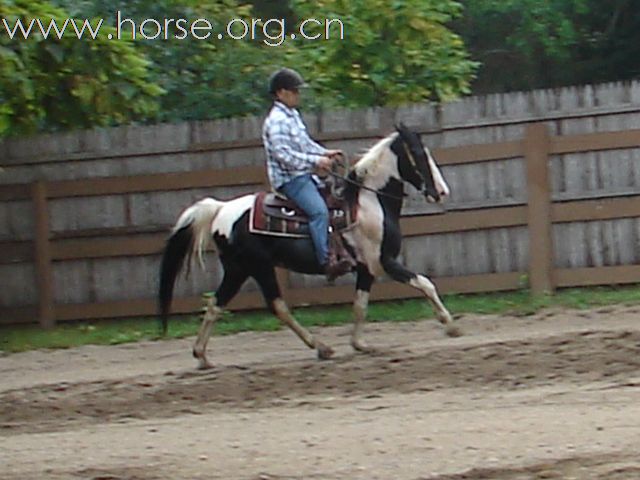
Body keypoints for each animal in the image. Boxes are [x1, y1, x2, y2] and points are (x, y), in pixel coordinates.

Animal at [159, 123, 460, 368]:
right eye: (419, 154)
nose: (442, 192)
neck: (368, 203)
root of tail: (220, 210)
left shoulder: (366, 268)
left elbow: (360, 306)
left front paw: (360, 344)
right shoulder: (383, 262)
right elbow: (424, 283)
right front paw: (450, 326)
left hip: (239, 270)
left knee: (216, 305)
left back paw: (202, 356)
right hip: (256, 267)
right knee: (276, 306)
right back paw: (321, 347)